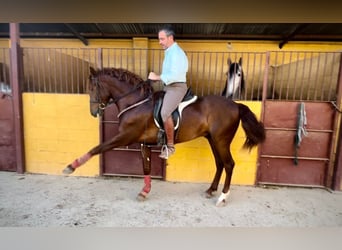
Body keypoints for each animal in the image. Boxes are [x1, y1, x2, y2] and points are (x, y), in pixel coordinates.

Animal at [65, 67, 268, 207]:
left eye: (92, 87)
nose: (93, 112)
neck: (136, 103)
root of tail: (236, 105)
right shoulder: (143, 143)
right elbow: (146, 167)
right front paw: (145, 192)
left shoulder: (125, 137)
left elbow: (97, 148)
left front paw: (71, 166)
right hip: (213, 140)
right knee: (220, 164)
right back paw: (210, 190)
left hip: (221, 140)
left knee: (229, 164)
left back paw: (223, 197)